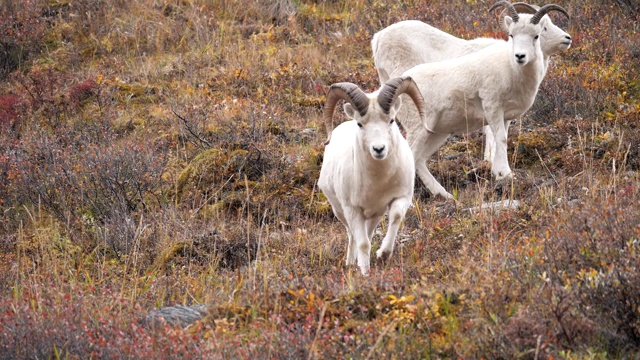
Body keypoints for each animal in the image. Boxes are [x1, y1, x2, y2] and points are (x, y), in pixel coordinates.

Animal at [372, 2, 572, 194]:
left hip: (436, 133)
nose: (567, 38)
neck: (511, 69)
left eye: (535, 35)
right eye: (512, 35)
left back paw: (444, 195)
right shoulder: (492, 107)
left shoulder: (505, 116)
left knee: (419, 160)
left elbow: (501, 138)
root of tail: (378, 37)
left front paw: (498, 172)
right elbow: (499, 138)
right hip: (418, 129)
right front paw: (503, 173)